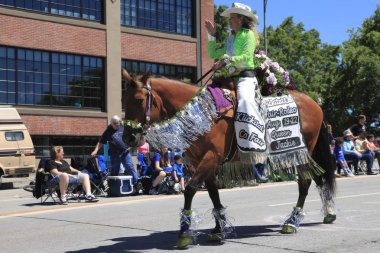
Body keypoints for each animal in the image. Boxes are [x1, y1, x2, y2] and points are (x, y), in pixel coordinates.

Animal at [121, 69, 336, 249]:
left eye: (139, 100)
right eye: (123, 100)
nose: (128, 137)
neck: (201, 114)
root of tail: (314, 103)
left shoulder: (210, 158)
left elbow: (190, 190)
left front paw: (184, 233)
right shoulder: (201, 163)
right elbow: (213, 194)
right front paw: (219, 228)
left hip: (301, 152)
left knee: (305, 182)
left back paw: (292, 221)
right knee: (319, 179)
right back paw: (329, 213)